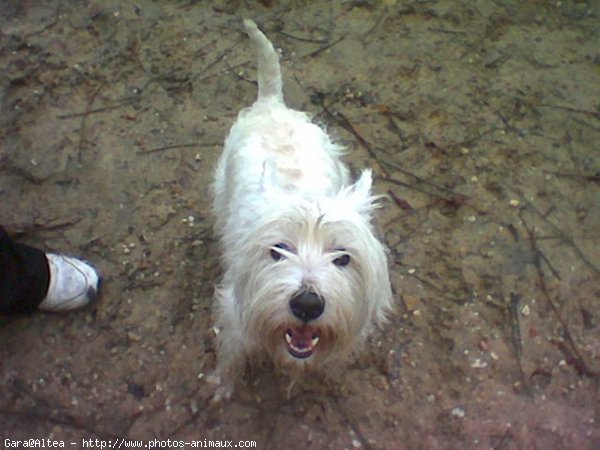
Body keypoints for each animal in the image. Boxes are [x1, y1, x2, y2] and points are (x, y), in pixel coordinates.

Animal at [211, 18, 394, 400]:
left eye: (343, 257)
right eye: (277, 250)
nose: (307, 305)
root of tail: (272, 104)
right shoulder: (235, 313)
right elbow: (231, 354)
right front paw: (223, 385)